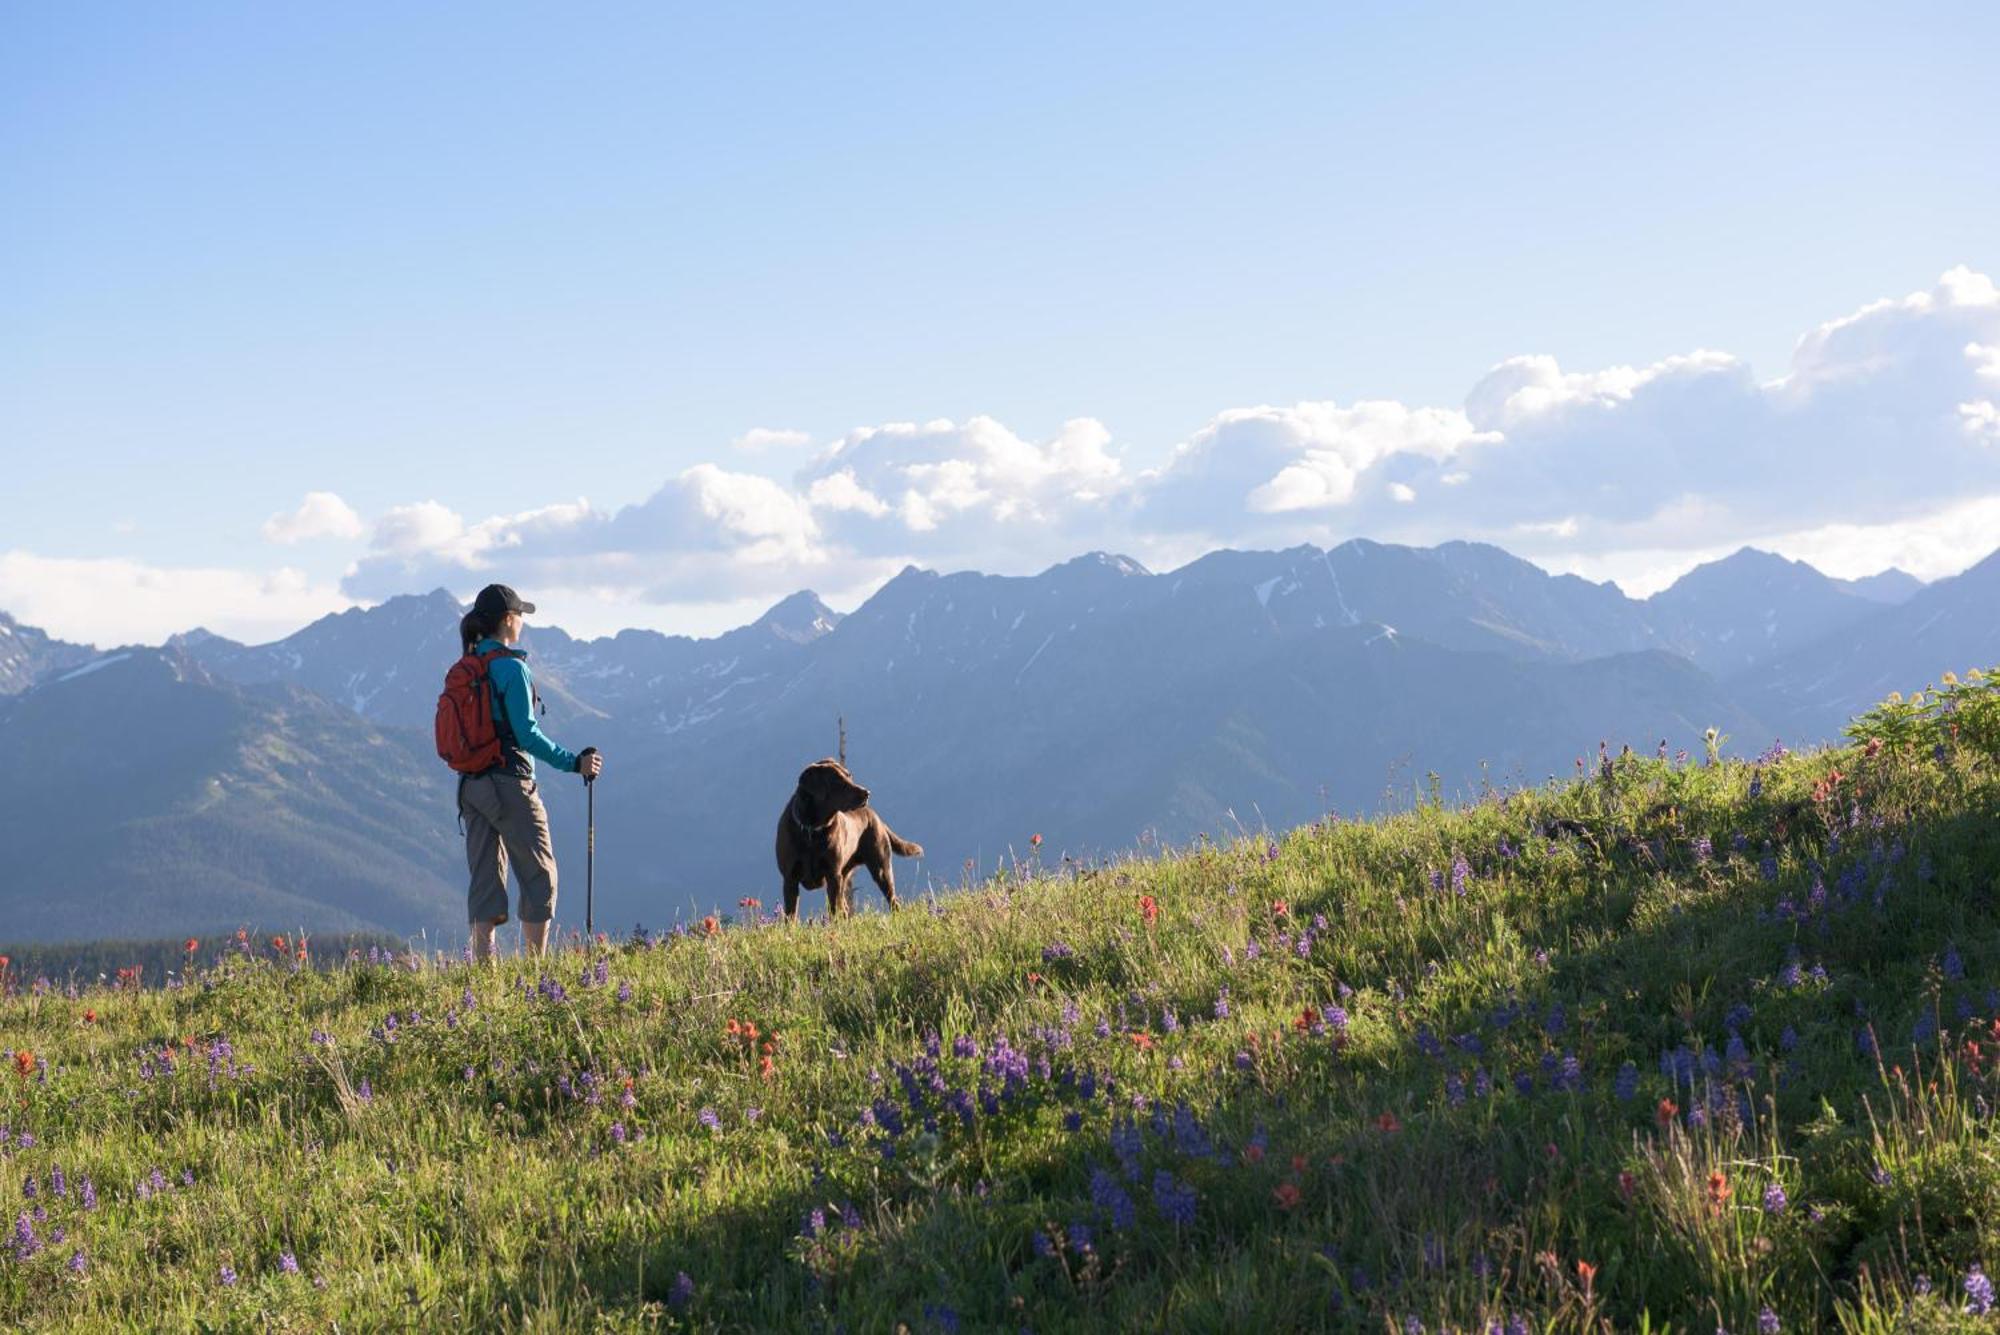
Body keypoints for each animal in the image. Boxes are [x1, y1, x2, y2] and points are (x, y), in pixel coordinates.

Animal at [776, 759, 924, 919]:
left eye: (849, 776)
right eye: (837, 781)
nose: (867, 793)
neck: (812, 830)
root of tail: (877, 818)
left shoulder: (833, 875)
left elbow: (834, 910)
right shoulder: (790, 879)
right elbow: (791, 915)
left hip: (880, 868)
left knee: (893, 901)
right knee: (846, 909)